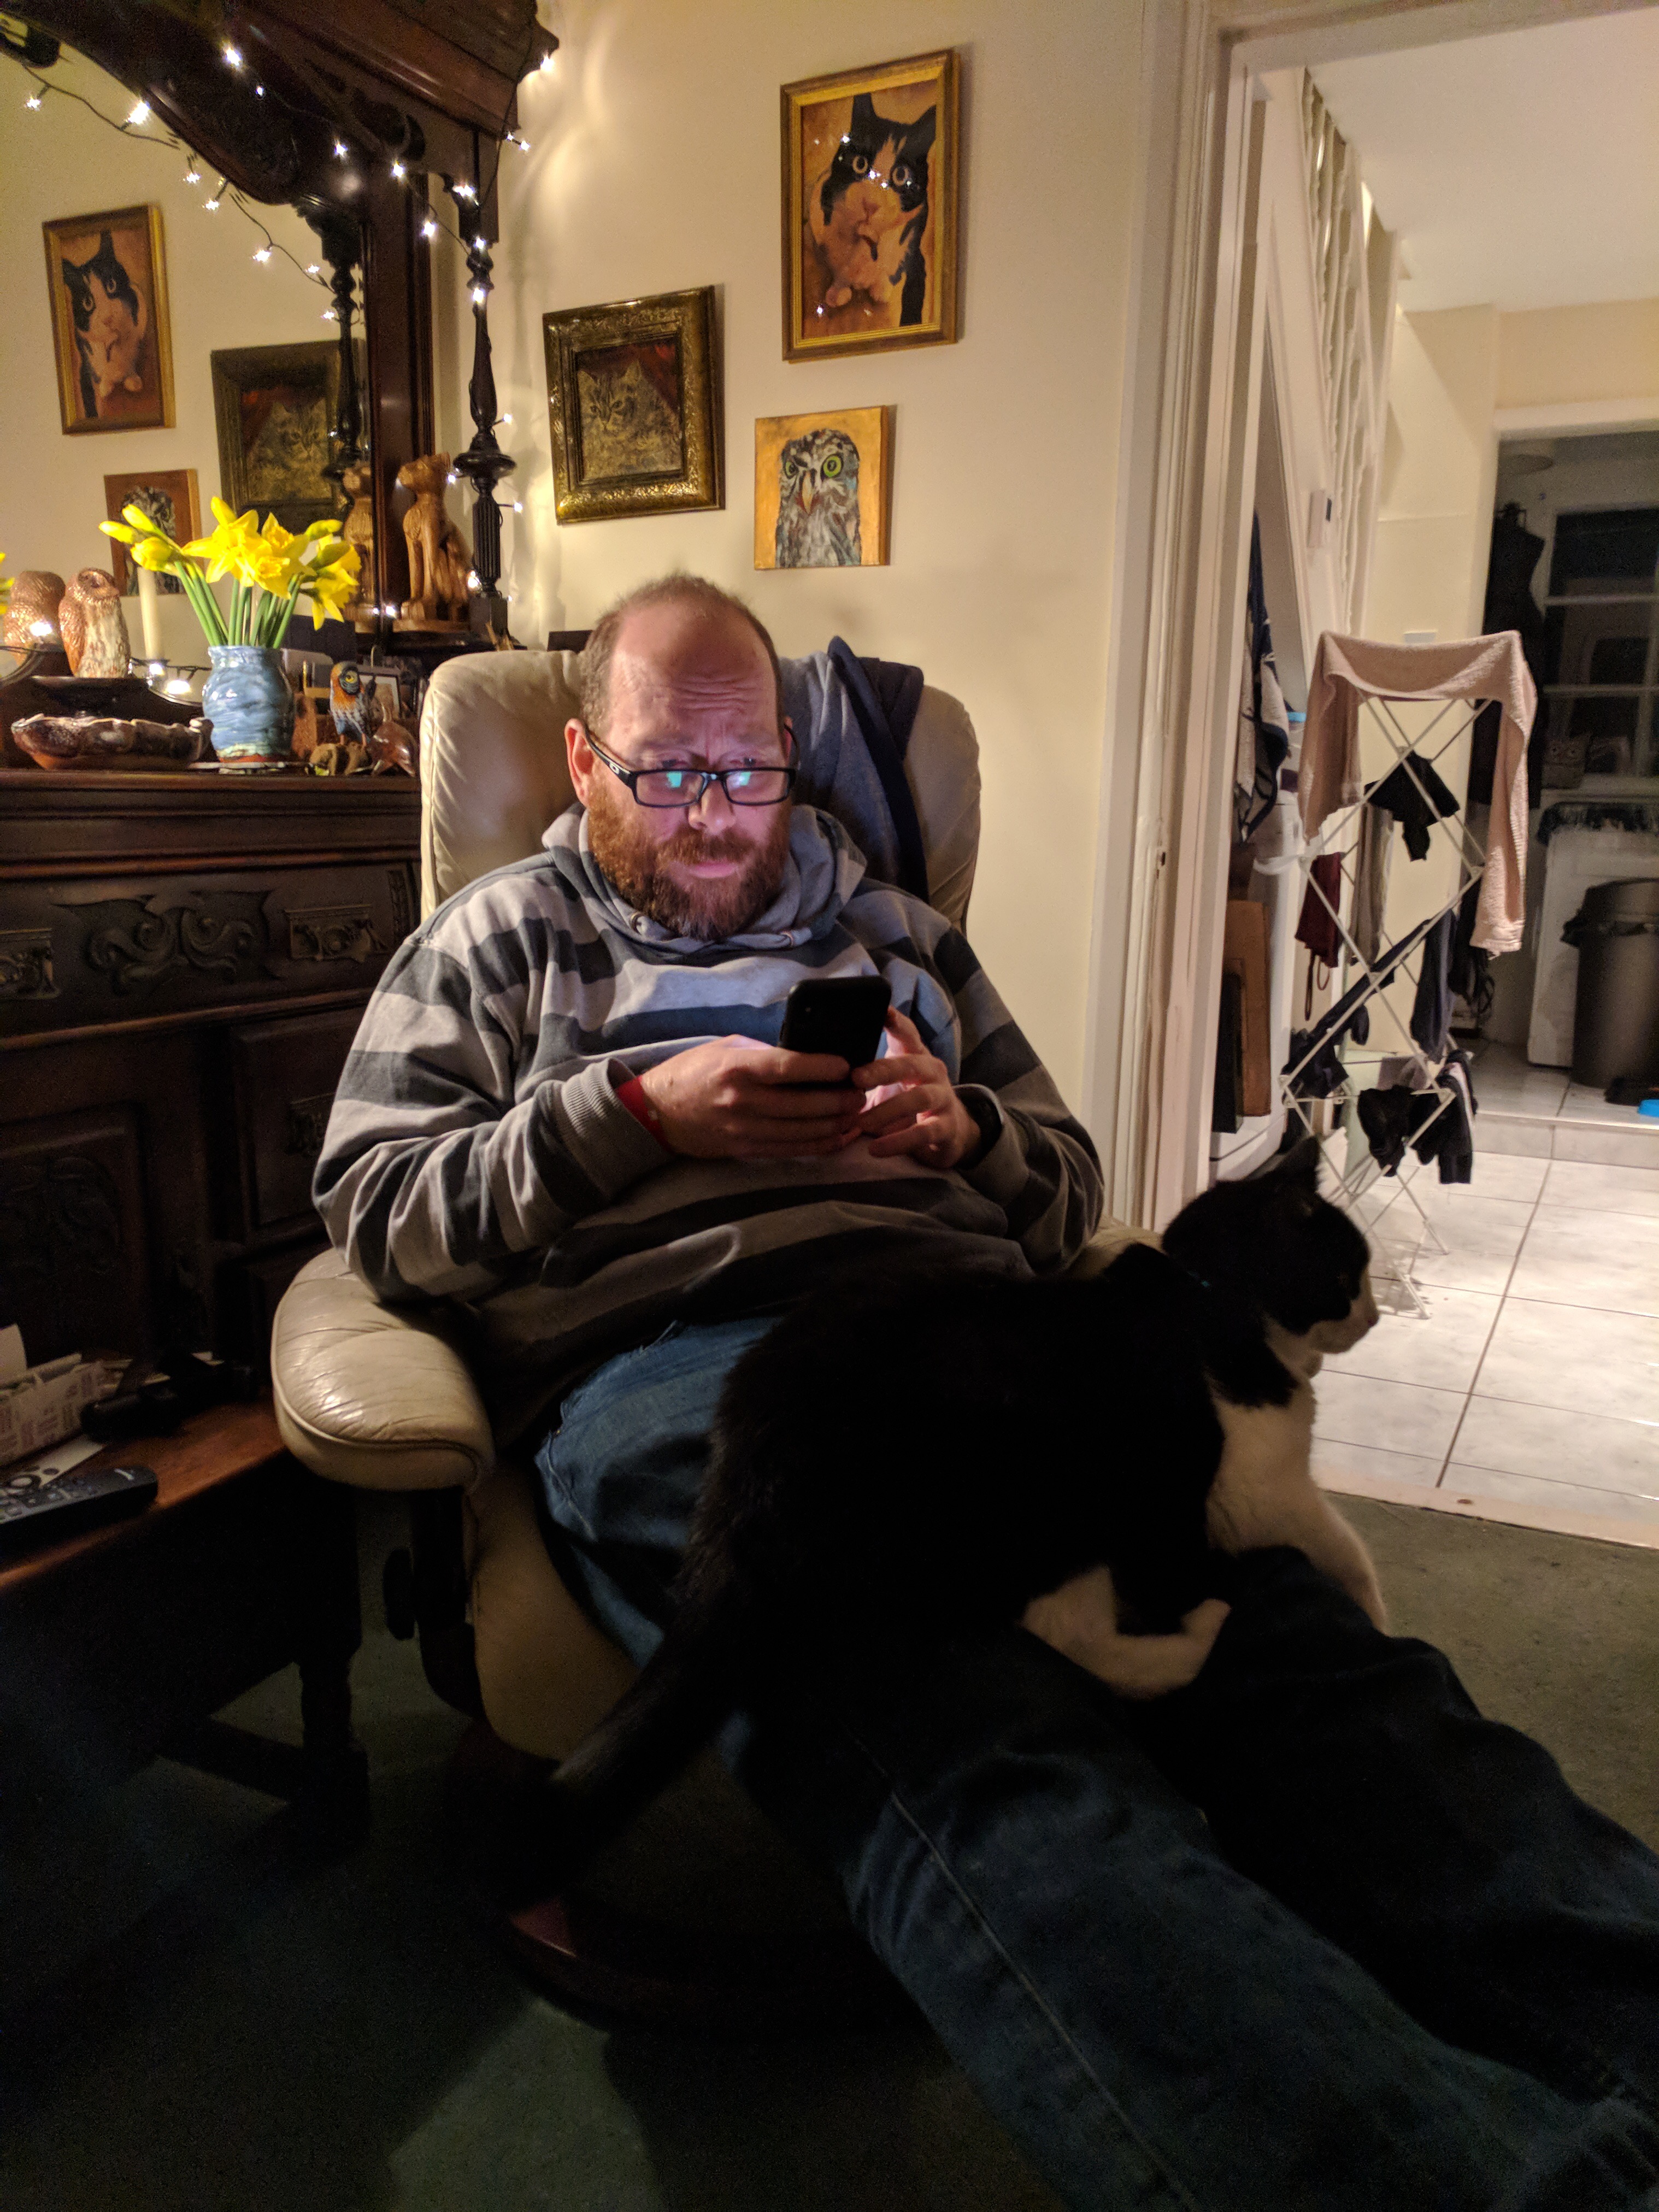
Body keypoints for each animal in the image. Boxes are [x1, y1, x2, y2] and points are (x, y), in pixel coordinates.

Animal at [61, 233, 146, 417]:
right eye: (88, 303)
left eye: (111, 285)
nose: (108, 318)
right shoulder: (86, 366)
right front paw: (106, 387)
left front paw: (133, 381)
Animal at [534, 1135, 1384, 1878]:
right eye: (1351, 1270)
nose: (1375, 1316)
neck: (1212, 1302)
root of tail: (746, 1486)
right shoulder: (1248, 1495)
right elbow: (1329, 1549)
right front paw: (1359, 1613)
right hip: (1063, 1494)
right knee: (1077, 1637)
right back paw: (1202, 1633)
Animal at [809, 94, 937, 324]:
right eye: (860, 164)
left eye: (901, 176)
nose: (871, 204)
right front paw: (838, 292)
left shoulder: (914, 253)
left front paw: (881, 289)